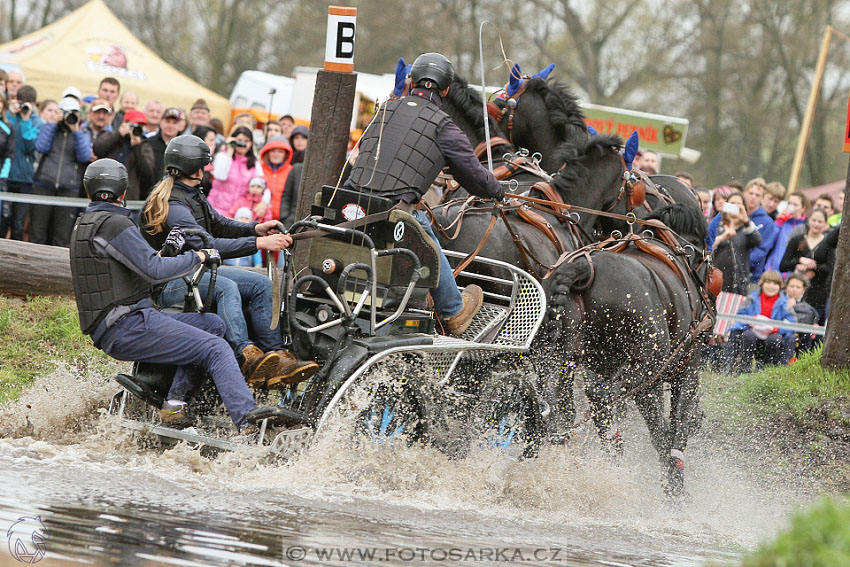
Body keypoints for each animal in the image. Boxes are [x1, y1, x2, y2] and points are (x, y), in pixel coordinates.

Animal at [540, 204, 712, 496]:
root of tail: (584, 269)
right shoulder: (683, 368)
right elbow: (674, 426)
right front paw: (674, 484)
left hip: (565, 357)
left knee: (560, 402)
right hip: (644, 368)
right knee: (606, 398)